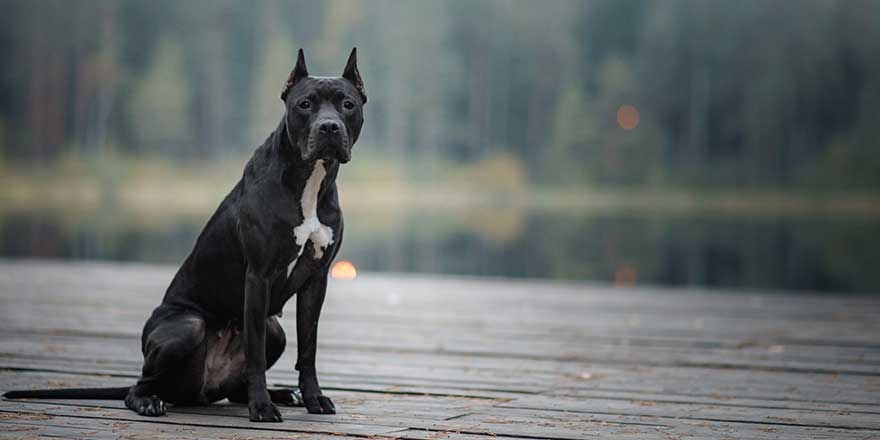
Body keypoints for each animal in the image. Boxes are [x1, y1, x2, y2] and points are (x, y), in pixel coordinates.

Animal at [2, 48, 364, 422]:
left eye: (347, 105)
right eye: (305, 104)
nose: (329, 126)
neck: (309, 182)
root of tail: (203, 389)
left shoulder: (315, 281)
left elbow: (308, 348)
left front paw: (313, 398)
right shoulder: (258, 277)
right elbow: (255, 355)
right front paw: (262, 407)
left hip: (274, 331)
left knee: (236, 386)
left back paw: (281, 394)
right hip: (187, 326)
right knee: (140, 385)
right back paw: (149, 400)